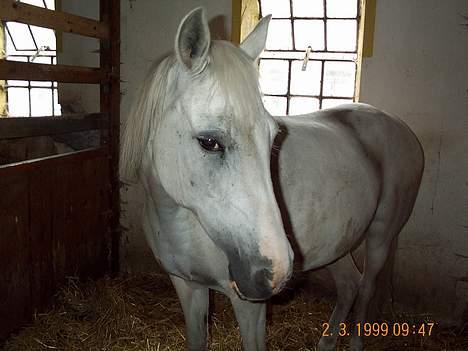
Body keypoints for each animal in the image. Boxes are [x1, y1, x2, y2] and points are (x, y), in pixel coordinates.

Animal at [120, 8, 424, 351]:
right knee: (350, 285)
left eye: (274, 136)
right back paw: (327, 342)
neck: (182, 224)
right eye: (209, 142)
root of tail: (400, 127)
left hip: (380, 237)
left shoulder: (250, 307)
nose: (275, 272)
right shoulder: (187, 287)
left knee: (367, 285)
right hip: (338, 242)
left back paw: (356, 342)